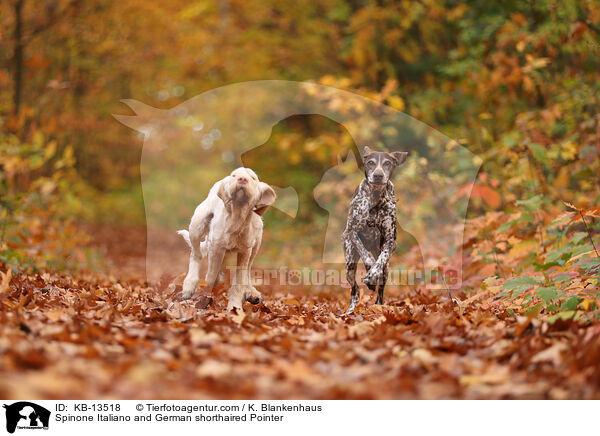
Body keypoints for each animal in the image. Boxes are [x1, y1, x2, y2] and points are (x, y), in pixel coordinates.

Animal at [176, 167, 274, 310]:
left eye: (253, 178)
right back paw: (189, 285)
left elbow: (239, 280)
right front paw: (216, 281)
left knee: (248, 269)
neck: (236, 219)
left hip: (257, 243)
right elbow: (211, 276)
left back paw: (251, 292)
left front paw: (235, 307)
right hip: (196, 225)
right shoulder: (215, 247)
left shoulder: (245, 252)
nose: (242, 179)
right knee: (196, 254)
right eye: (234, 175)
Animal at [342, 146, 408, 314]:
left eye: (387, 163)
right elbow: (365, 253)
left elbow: (381, 259)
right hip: (349, 264)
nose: (378, 175)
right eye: (370, 162)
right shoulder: (352, 232)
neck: (376, 197)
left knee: (380, 291)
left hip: (386, 271)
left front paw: (373, 273)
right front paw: (370, 266)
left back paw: (379, 304)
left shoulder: (391, 242)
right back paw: (350, 310)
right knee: (355, 290)